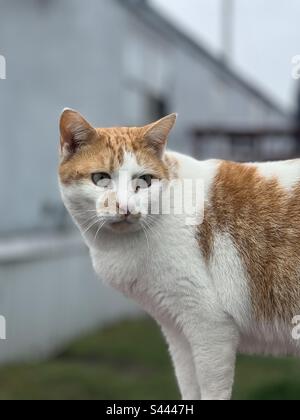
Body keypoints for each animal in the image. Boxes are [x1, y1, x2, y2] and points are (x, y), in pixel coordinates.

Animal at [58, 108, 300, 400]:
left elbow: (211, 390)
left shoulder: (209, 324)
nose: (125, 207)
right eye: (101, 178)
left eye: (144, 181)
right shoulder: (177, 332)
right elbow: (188, 385)